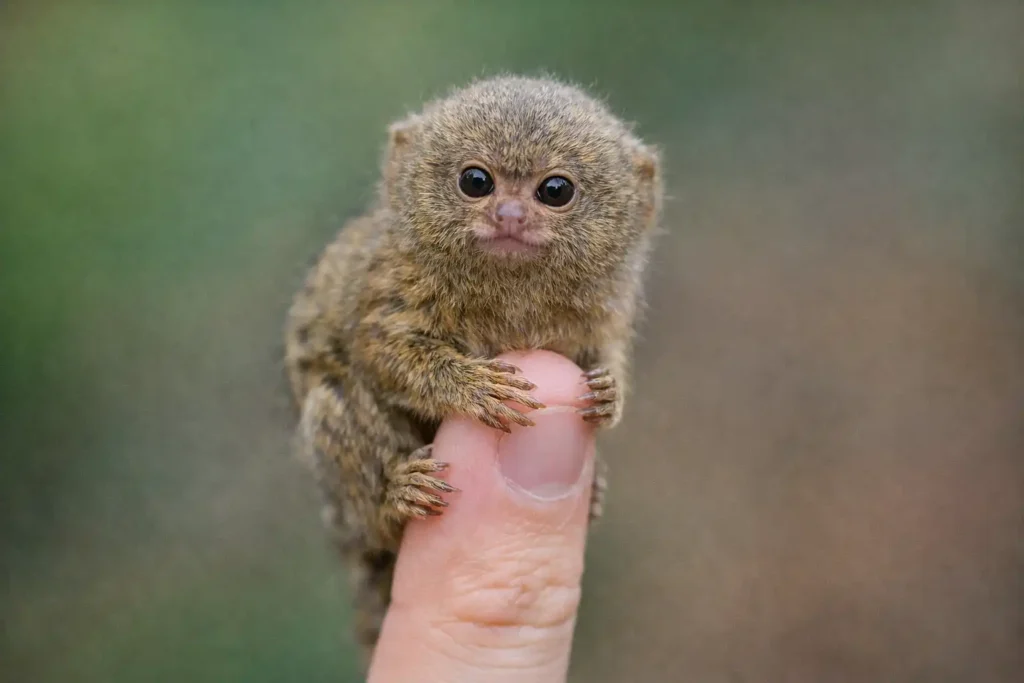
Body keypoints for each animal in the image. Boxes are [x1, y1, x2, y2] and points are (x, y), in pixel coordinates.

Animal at [283, 74, 663, 663]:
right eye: (476, 181)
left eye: (555, 190)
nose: (509, 216)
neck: (508, 292)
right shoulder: (389, 282)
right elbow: (381, 350)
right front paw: (473, 388)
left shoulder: (605, 310)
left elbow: (606, 355)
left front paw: (610, 395)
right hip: (346, 508)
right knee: (333, 403)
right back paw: (394, 501)